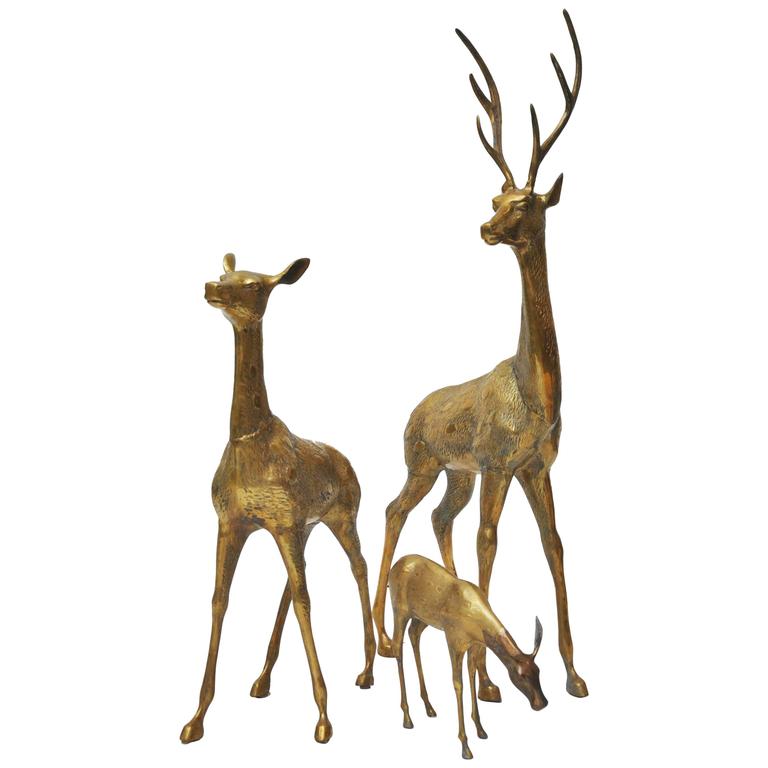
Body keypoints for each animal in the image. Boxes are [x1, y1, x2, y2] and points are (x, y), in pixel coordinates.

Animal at [180, 254, 376, 747]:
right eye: (224, 275)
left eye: (253, 285)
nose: (211, 287)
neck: (248, 438)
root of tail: (346, 460)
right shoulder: (234, 524)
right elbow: (220, 599)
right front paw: (196, 718)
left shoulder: (283, 525)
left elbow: (308, 600)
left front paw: (323, 718)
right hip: (305, 526)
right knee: (294, 584)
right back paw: (263, 678)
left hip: (342, 518)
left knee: (358, 569)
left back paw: (368, 668)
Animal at [372, 9, 588, 703]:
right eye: (497, 199)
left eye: (525, 202)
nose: (487, 227)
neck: (536, 390)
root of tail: (413, 411)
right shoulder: (498, 462)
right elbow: (490, 543)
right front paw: (492, 681)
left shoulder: (536, 466)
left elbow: (554, 545)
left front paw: (576, 675)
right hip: (426, 462)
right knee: (396, 511)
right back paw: (379, 646)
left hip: (457, 474)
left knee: (440, 519)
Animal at [389, 555, 546, 760]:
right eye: (520, 675)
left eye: (538, 671)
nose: (541, 703)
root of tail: (395, 566)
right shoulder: (454, 641)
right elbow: (458, 684)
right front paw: (465, 746)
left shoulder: (475, 645)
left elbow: (472, 675)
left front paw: (481, 729)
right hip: (399, 611)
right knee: (397, 648)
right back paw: (407, 717)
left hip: (421, 618)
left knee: (413, 635)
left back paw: (429, 707)